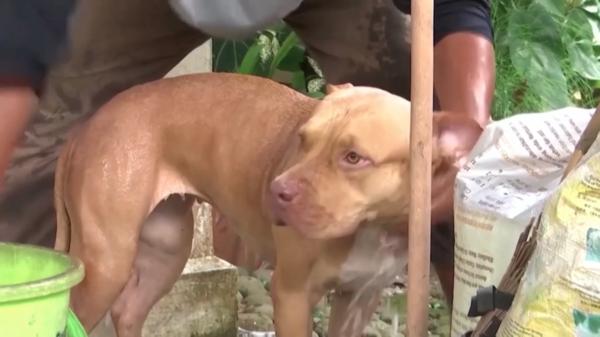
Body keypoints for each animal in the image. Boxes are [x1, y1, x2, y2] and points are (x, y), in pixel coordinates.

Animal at [54, 73, 480, 336]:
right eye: (303, 140)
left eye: (354, 157)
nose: (278, 190)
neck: (371, 225)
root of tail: (84, 129)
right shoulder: (291, 294)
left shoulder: (358, 299)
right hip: (107, 263)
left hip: (167, 252)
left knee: (128, 310)